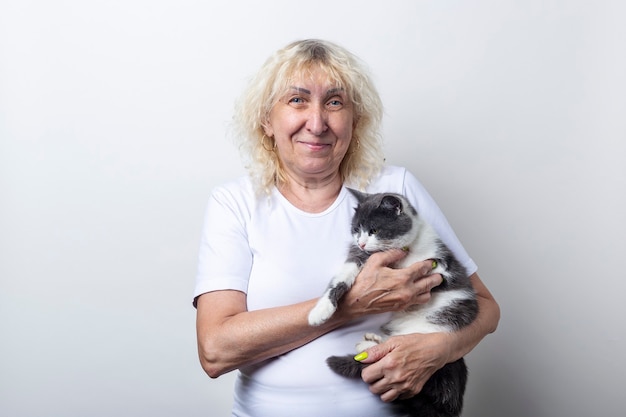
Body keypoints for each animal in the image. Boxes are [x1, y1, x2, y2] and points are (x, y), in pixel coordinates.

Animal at [308, 188, 478, 416]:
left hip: (435, 331)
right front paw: (321, 311)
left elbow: (440, 275)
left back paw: (369, 345)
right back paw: (371, 341)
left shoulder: (442, 263)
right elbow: (341, 279)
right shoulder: (359, 256)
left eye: (374, 230)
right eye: (356, 229)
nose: (362, 242)